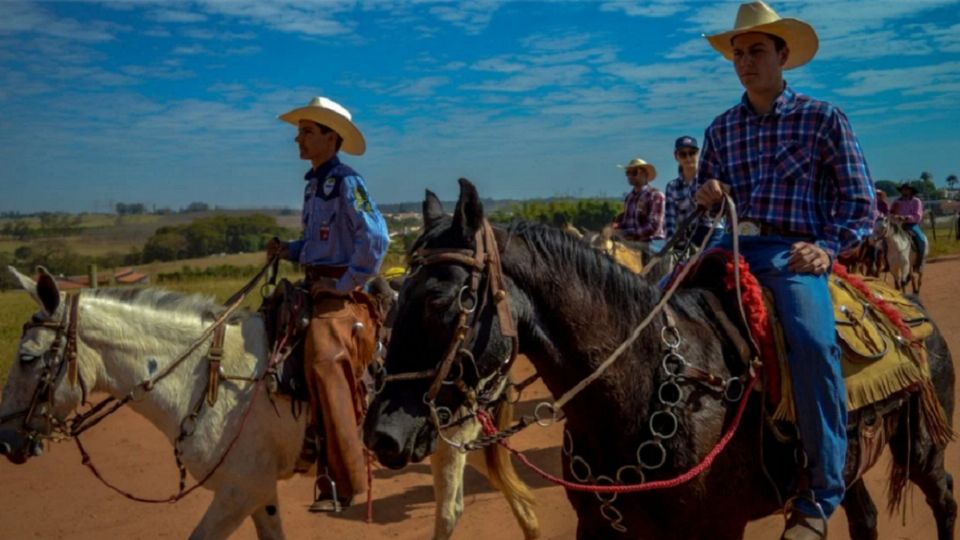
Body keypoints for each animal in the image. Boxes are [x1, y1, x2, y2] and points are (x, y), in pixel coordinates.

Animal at [1, 268, 540, 540]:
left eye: (27, 358)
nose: (6, 442)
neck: (207, 381)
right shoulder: (258, 490)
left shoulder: (237, 492)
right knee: (514, 494)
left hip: (449, 441)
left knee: (449, 513)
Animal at [364, 180, 956, 540]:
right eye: (394, 297)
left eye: (442, 299)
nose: (381, 436)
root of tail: (905, 307)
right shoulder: (600, 528)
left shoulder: (716, 530)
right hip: (851, 461)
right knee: (864, 514)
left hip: (921, 449)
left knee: (944, 499)